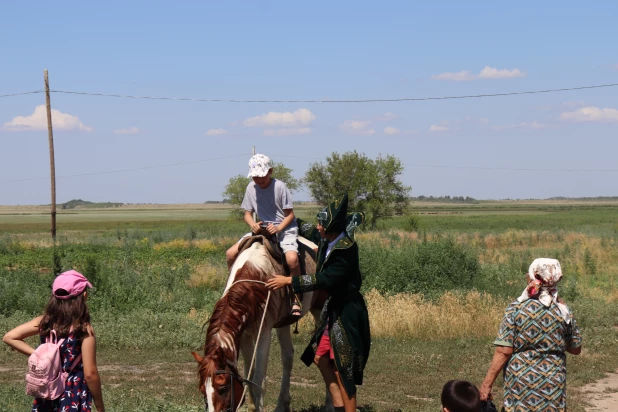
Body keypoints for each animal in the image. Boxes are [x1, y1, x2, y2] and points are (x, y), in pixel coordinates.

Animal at [192, 238, 330, 412]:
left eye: (222, 388)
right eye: (202, 390)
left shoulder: (263, 332)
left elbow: (259, 381)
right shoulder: (244, 335)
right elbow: (249, 375)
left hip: (320, 311)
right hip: (283, 324)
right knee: (288, 357)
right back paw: (282, 404)